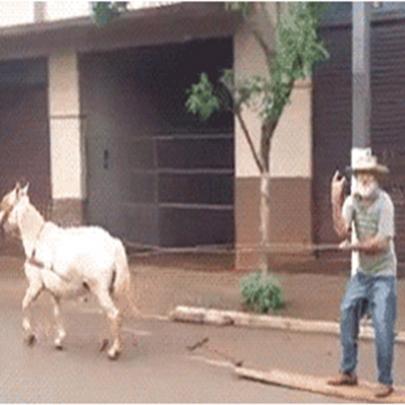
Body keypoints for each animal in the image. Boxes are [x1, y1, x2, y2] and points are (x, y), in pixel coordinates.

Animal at [0, 181, 135, 358]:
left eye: (5, 202)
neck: (37, 239)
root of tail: (113, 244)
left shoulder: (35, 285)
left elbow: (25, 303)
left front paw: (29, 334)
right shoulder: (54, 290)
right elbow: (57, 313)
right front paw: (59, 339)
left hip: (99, 289)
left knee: (113, 314)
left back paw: (114, 350)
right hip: (107, 290)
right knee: (111, 314)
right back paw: (105, 342)